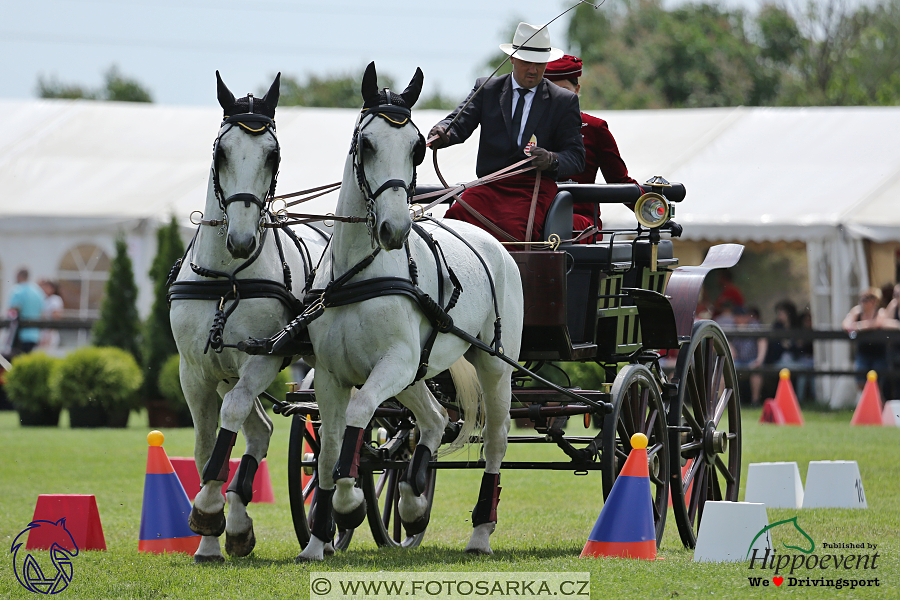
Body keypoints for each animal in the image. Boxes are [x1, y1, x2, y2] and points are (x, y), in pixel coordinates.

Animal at [169, 72, 326, 564]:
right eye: (221, 151)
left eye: (272, 154)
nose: (240, 239)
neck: (228, 278)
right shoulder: (194, 371)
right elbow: (205, 447)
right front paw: (208, 540)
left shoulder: (262, 359)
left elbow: (232, 416)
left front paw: (207, 509)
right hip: (224, 371)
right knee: (262, 428)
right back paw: (237, 524)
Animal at [298, 63, 524, 560]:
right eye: (366, 143)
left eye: (417, 147)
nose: (396, 228)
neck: (359, 273)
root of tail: (497, 245)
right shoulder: (330, 374)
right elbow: (327, 449)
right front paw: (318, 538)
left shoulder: (392, 364)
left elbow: (359, 416)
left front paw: (348, 504)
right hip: (415, 375)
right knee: (435, 419)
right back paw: (412, 500)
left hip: (493, 365)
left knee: (495, 442)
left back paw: (480, 532)